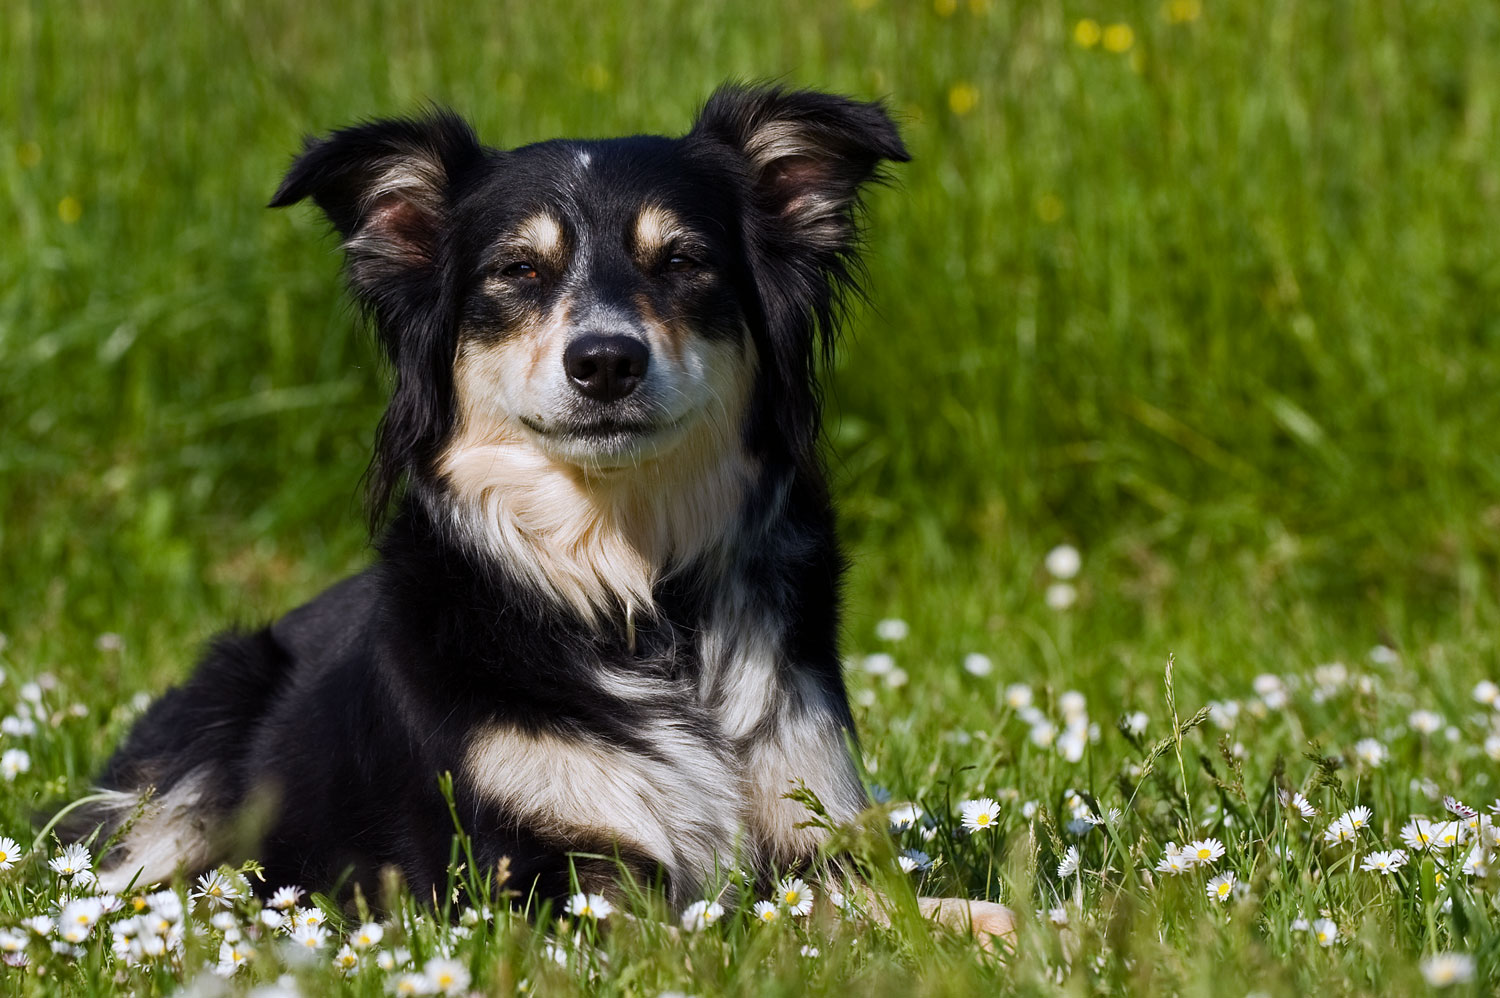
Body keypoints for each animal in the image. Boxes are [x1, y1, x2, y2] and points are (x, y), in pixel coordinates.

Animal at [67, 81, 1008, 936]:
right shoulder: (544, 876)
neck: (640, 597)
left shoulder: (813, 836)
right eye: (518, 270)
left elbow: (952, 914)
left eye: (683, 262)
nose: (605, 362)